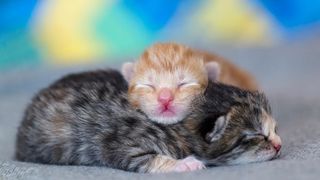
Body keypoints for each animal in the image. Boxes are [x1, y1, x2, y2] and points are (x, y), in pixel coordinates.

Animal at [15, 69, 280, 173]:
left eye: (275, 129)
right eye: (255, 135)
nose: (278, 145)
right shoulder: (121, 143)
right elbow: (147, 159)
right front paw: (185, 164)